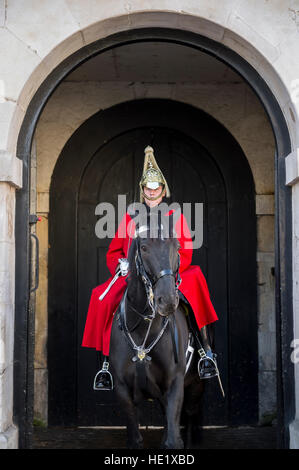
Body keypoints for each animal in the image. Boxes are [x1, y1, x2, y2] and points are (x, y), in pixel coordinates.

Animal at [110, 224, 204, 448]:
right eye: (144, 247)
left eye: (177, 246)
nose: (167, 300)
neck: (144, 329)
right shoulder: (123, 389)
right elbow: (135, 439)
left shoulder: (175, 384)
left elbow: (173, 441)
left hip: (196, 384)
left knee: (190, 414)